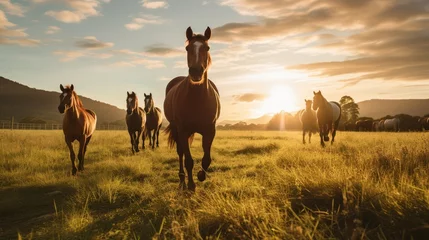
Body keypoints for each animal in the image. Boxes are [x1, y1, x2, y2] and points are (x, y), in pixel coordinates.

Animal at [162, 25, 219, 191]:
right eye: (187, 48)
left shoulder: (210, 130)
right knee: (181, 152)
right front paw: (191, 185)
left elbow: (207, 159)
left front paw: (201, 175)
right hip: (177, 130)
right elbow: (188, 160)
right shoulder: (183, 130)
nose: (195, 72)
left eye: (207, 47)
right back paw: (182, 179)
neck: (197, 99)